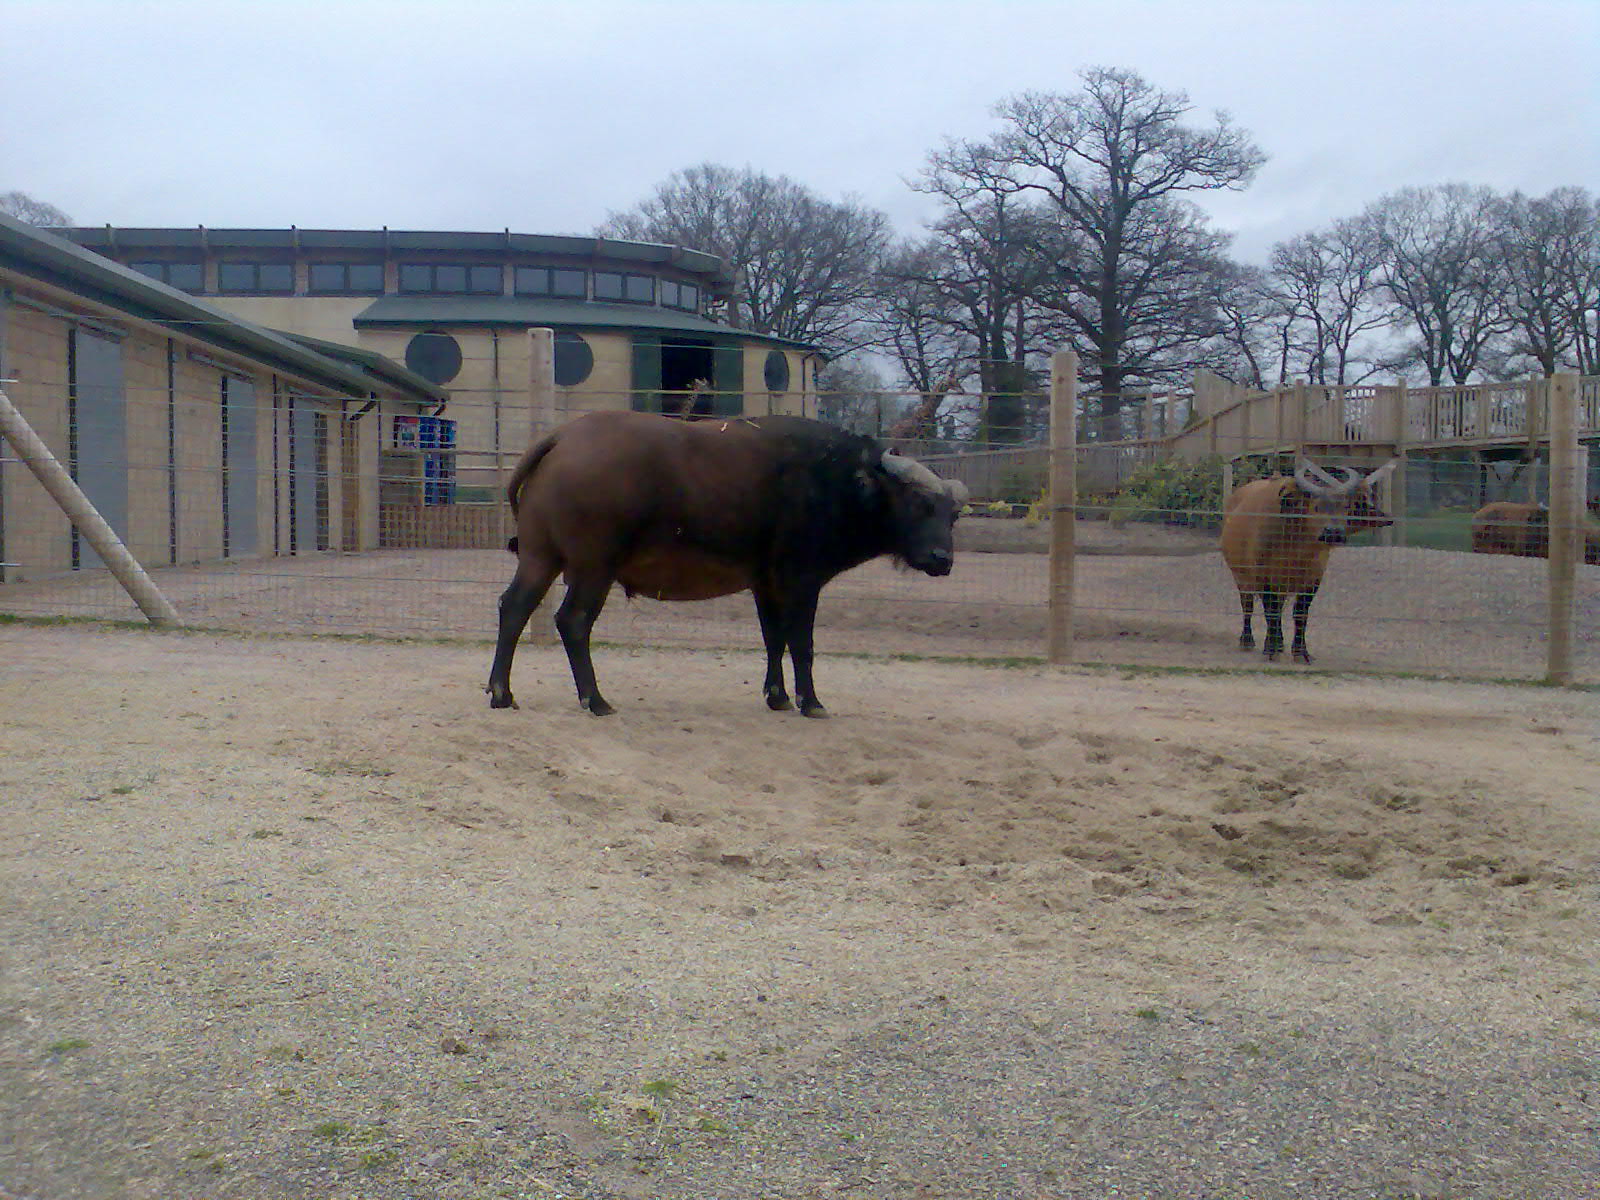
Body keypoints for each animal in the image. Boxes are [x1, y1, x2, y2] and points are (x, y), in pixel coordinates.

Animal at [485, 411, 968, 717]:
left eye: (954, 515)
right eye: (920, 504)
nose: (942, 559)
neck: (837, 481)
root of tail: (563, 438)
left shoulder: (766, 583)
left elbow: (774, 639)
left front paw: (778, 696)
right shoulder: (801, 580)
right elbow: (803, 643)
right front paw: (811, 702)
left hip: (540, 557)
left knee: (514, 607)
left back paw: (502, 692)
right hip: (593, 566)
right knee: (573, 621)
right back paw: (595, 700)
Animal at [1220, 460, 1397, 664]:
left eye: (1346, 507)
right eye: (1316, 507)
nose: (1333, 532)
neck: (1297, 550)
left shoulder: (1313, 579)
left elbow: (1300, 614)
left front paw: (1300, 651)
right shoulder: (1263, 576)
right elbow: (1270, 611)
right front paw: (1271, 649)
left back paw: (1278, 643)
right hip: (1241, 576)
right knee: (1248, 604)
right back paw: (1248, 640)